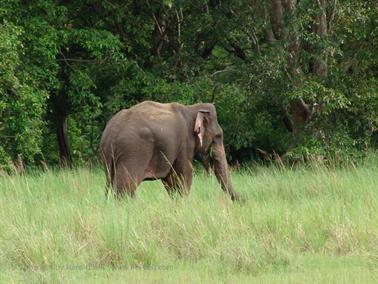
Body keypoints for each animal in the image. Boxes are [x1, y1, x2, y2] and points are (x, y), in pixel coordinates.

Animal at [100, 100, 241, 202]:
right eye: (218, 136)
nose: (244, 201)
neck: (191, 109)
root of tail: (113, 130)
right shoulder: (185, 144)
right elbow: (183, 177)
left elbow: (170, 181)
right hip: (133, 152)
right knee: (126, 188)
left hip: (108, 156)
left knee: (110, 184)